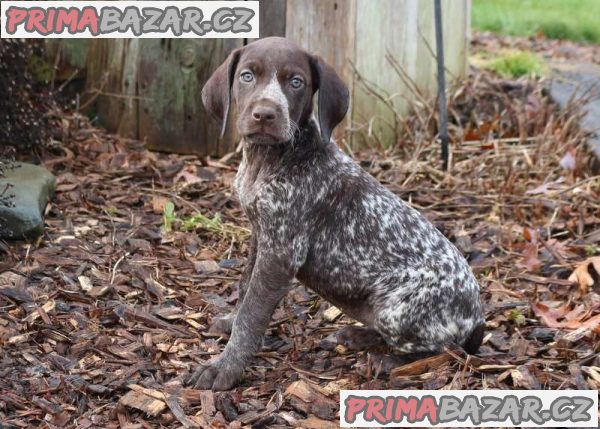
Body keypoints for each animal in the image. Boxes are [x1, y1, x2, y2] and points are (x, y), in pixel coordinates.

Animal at [190, 37, 486, 392]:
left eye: (296, 82)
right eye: (247, 76)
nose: (265, 114)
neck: (271, 159)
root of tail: (478, 316)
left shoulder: (281, 253)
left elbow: (252, 313)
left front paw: (225, 367)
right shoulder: (260, 235)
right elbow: (245, 286)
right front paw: (229, 322)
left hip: (397, 310)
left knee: (446, 349)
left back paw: (390, 361)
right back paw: (358, 336)